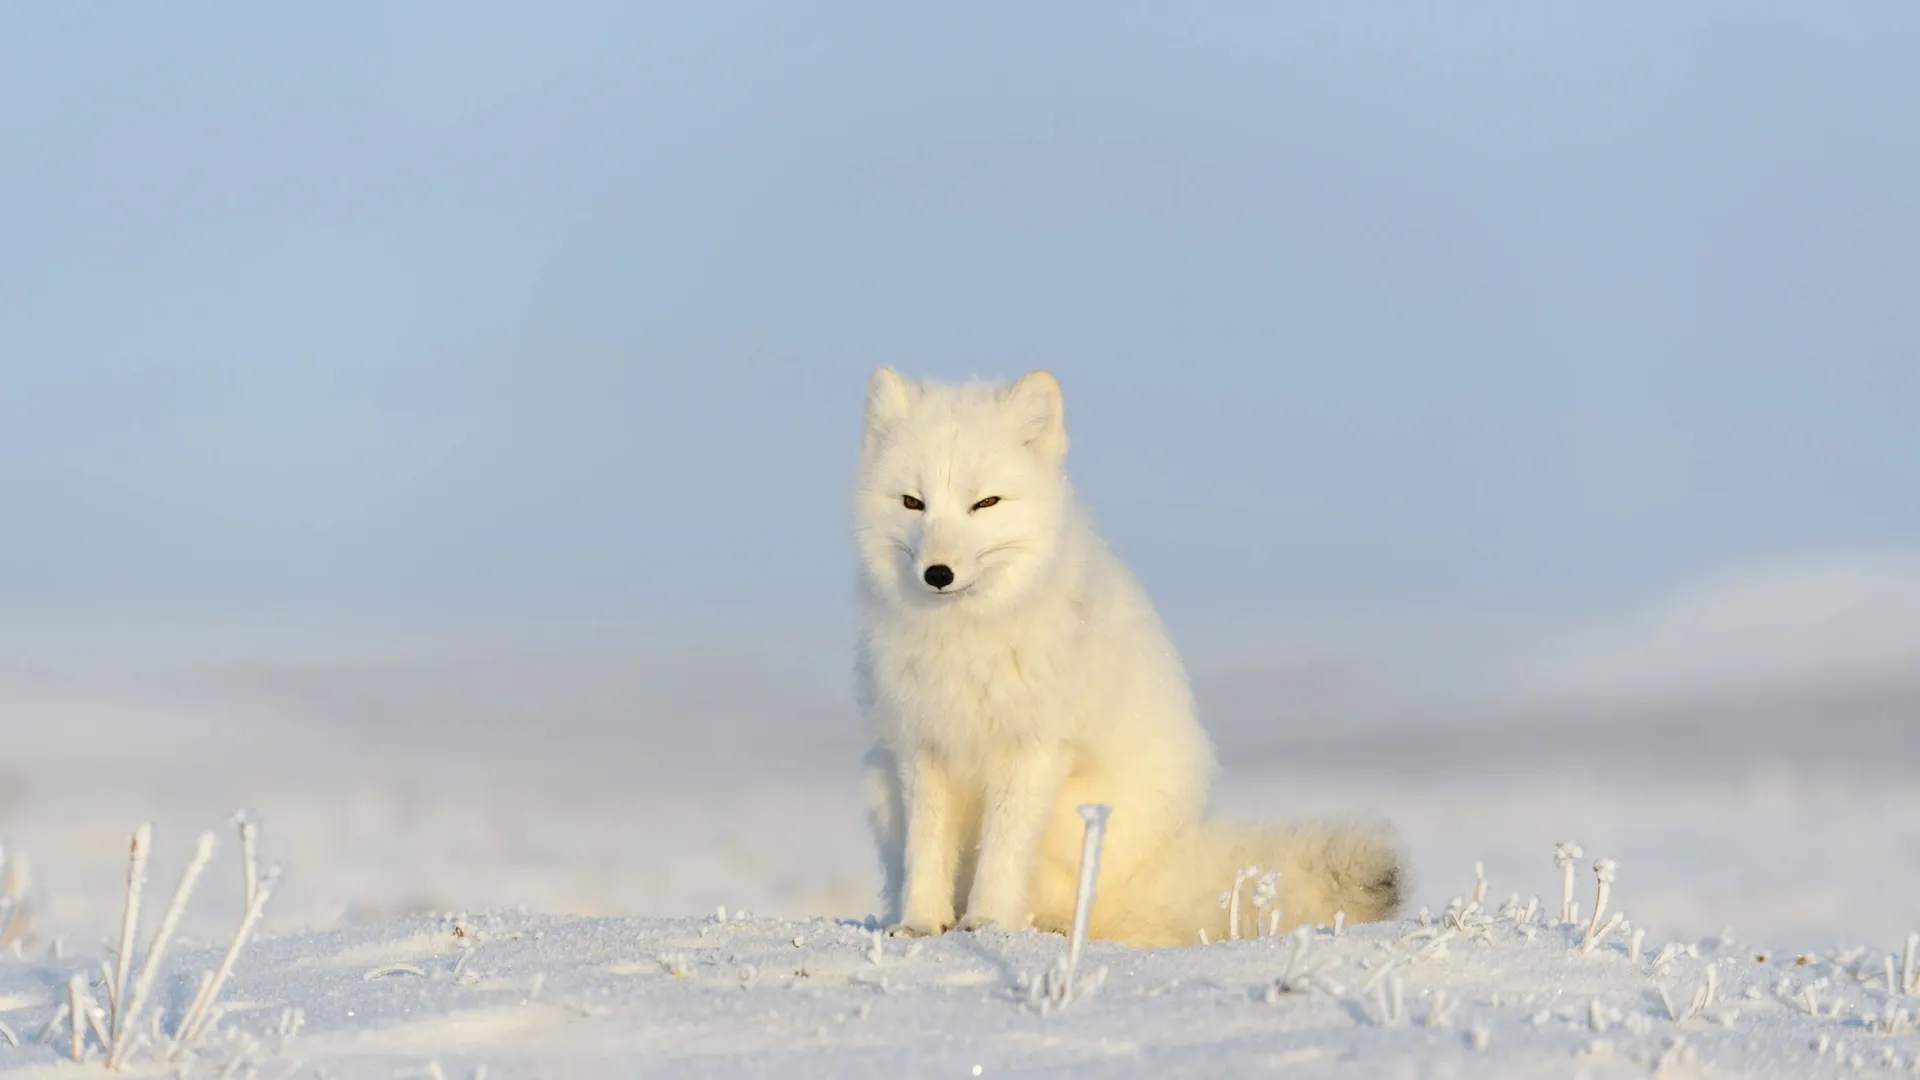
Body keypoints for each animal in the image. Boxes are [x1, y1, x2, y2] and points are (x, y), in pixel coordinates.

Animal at [848, 367, 1405, 941]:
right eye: (912, 502)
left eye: (986, 503)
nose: (937, 574)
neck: (966, 639)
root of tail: (1156, 870)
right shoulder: (921, 746)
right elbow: (926, 850)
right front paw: (919, 924)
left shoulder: (1034, 749)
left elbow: (1002, 850)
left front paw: (987, 922)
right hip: (878, 784)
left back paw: (1050, 924)